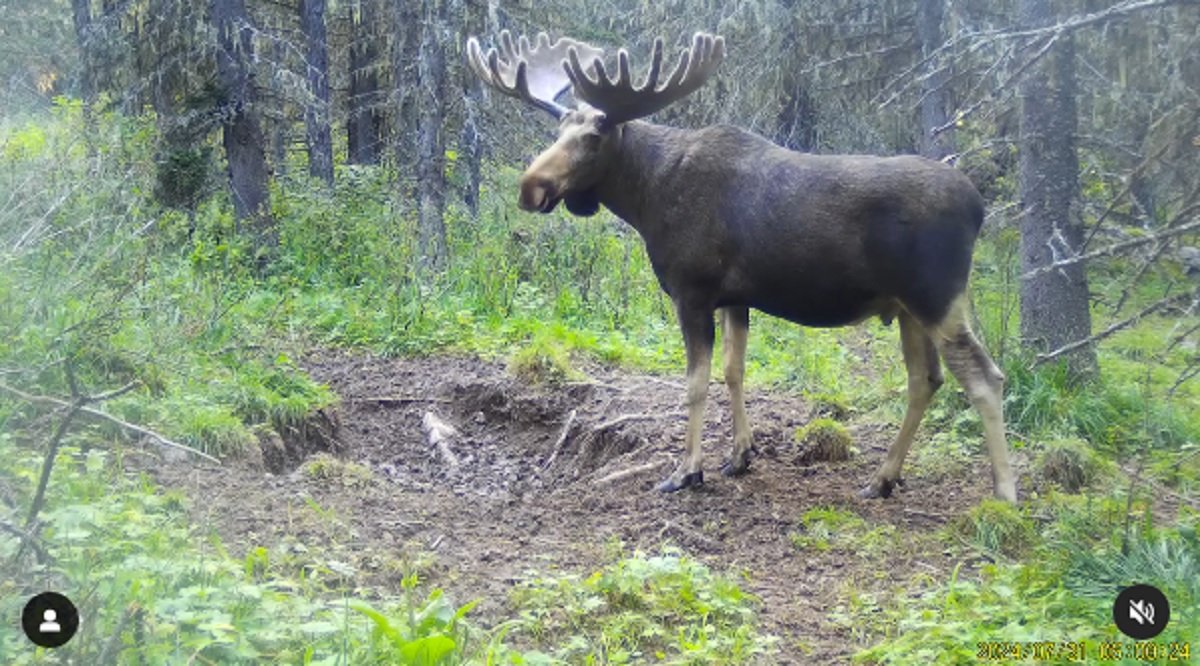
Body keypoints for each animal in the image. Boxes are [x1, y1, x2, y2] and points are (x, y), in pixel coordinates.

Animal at [463, 30, 1017, 499]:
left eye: (594, 137)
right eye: (559, 128)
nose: (531, 187)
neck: (646, 198)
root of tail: (978, 208)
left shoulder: (692, 291)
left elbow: (694, 384)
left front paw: (687, 471)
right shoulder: (735, 297)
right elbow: (734, 370)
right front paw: (739, 455)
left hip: (936, 295)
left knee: (985, 377)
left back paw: (1004, 493)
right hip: (905, 308)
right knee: (926, 380)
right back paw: (883, 479)